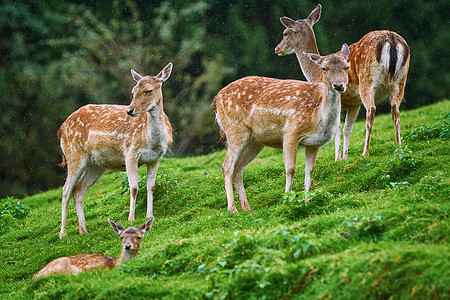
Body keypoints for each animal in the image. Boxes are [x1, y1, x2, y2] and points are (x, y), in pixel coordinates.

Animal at [58, 62, 174, 238]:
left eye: (148, 90)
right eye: (133, 91)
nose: (130, 110)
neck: (152, 141)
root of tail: (61, 128)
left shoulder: (156, 158)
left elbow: (151, 186)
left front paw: (149, 215)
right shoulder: (131, 153)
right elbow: (134, 187)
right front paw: (131, 218)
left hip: (95, 164)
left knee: (78, 190)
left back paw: (83, 230)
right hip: (74, 155)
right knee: (65, 190)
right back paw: (63, 233)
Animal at [214, 44, 352, 213]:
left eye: (347, 66)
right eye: (324, 68)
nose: (338, 85)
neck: (316, 115)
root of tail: (216, 99)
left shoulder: (315, 143)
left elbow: (310, 170)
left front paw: (307, 202)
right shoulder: (290, 132)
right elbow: (290, 169)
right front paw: (287, 200)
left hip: (255, 141)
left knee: (238, 168)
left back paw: (247, 208)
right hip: (235, 130)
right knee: (227, 166)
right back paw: (232, 209)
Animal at [274, 3, 412, 161]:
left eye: (285, 33)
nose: (277, 49)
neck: (317, 73)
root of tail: (391, 39)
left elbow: (337, 128)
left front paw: (337, 158)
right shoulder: (354, 104)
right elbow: (347, 128)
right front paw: (345, 157)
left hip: (367, 80)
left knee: (371, 109)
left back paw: (365, 152)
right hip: (400, 80)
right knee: (395, 109)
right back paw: (399, 148)